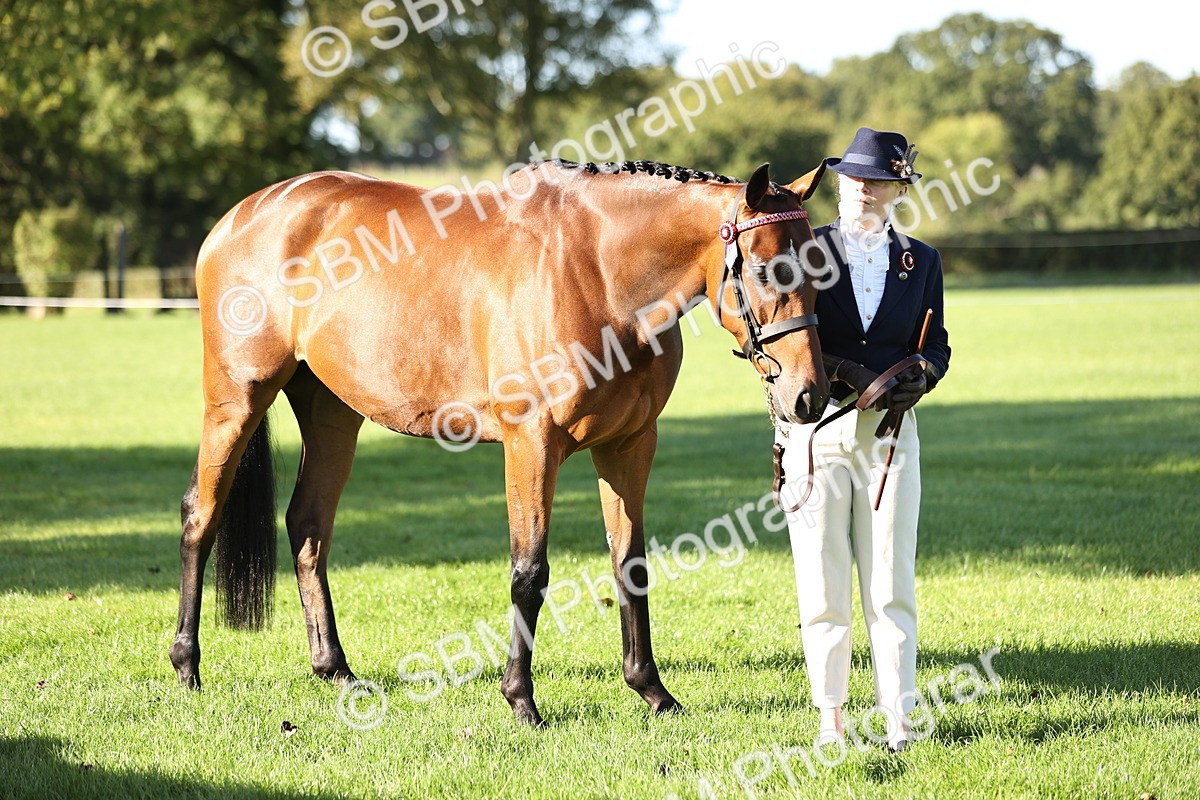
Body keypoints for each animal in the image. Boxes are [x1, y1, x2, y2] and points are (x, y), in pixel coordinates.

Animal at [170, 158, 831, 726]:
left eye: (824, 271)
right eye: (769, 269)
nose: (809, 396)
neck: (597, 272)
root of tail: (243, 215)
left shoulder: (630, 446)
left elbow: (631, 564)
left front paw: (653, 691)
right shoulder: (531, 444)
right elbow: (528, 572)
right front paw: (521, 700)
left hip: (332, 413)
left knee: (308, 527)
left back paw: (336, 671)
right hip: (236, 399)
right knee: (201, 515)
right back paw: (187, 666)